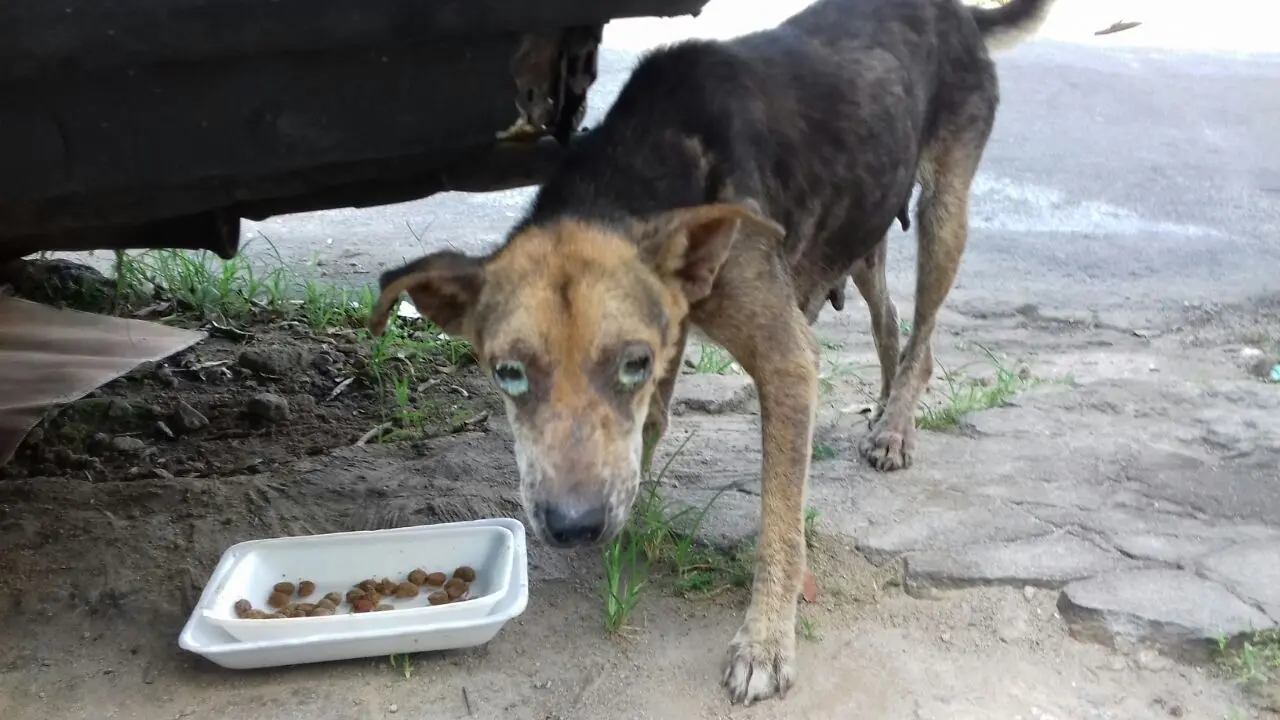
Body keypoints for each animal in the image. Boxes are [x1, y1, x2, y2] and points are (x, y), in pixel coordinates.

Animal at [366, 0, 1054, 702]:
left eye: (633, 364)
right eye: (507, 373)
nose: (573, 526)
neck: (638, 170)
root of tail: (961, 15)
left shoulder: (784, 358)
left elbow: (779, 526)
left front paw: (766, 644)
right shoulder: (675, 330)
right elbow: (648, 431)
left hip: (945, 207)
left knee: (925, 335)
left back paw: (895, 428)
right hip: (867, 224)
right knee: (889, 323)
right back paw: (888, 411)